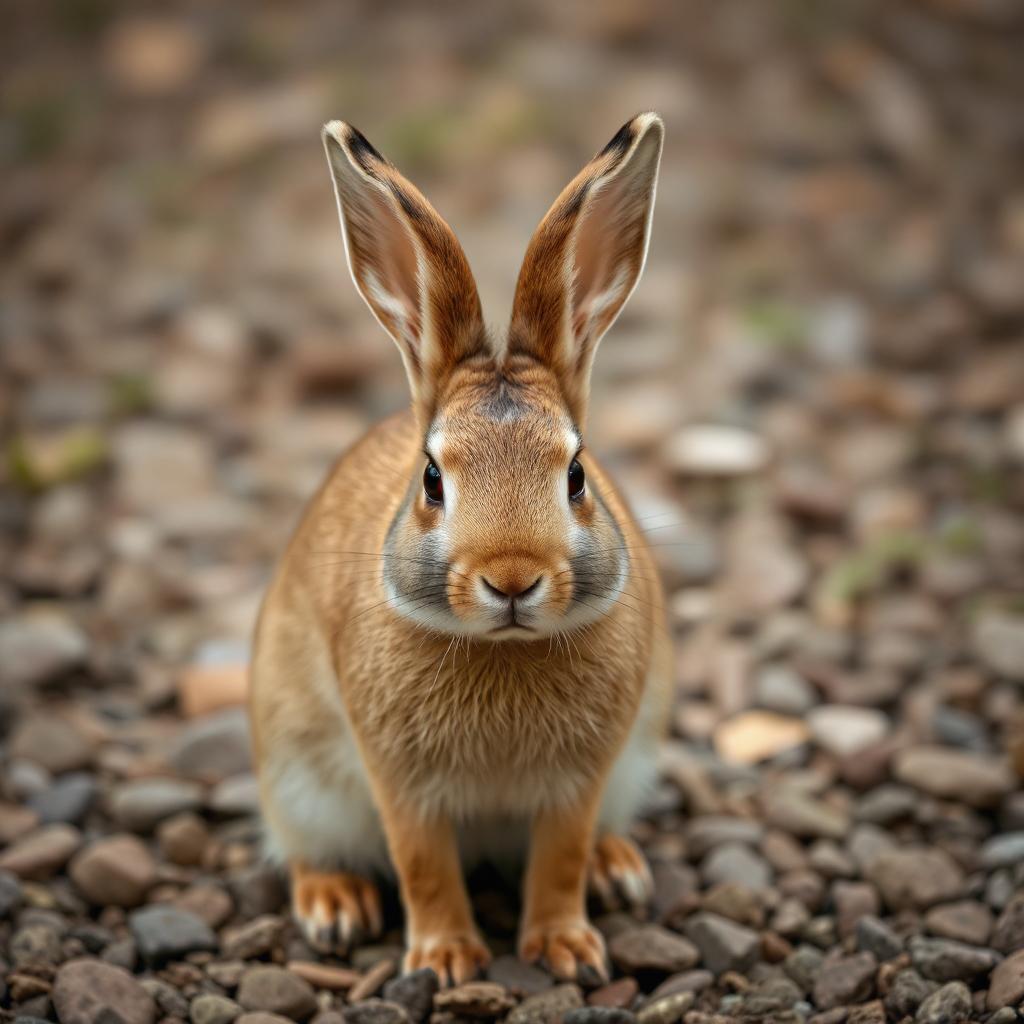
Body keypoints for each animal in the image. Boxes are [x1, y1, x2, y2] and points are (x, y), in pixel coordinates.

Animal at [250, 111, 672, 986]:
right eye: (433, 479)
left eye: (577, 474)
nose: (511, 579)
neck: (504, 649)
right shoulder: (400, 785)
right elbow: (423, 864)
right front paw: (445, 960)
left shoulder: (583, 784)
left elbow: (560, 858)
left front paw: (566, 949)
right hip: (296, 778)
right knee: (304, 849)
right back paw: (335, 905)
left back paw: (617, 867)